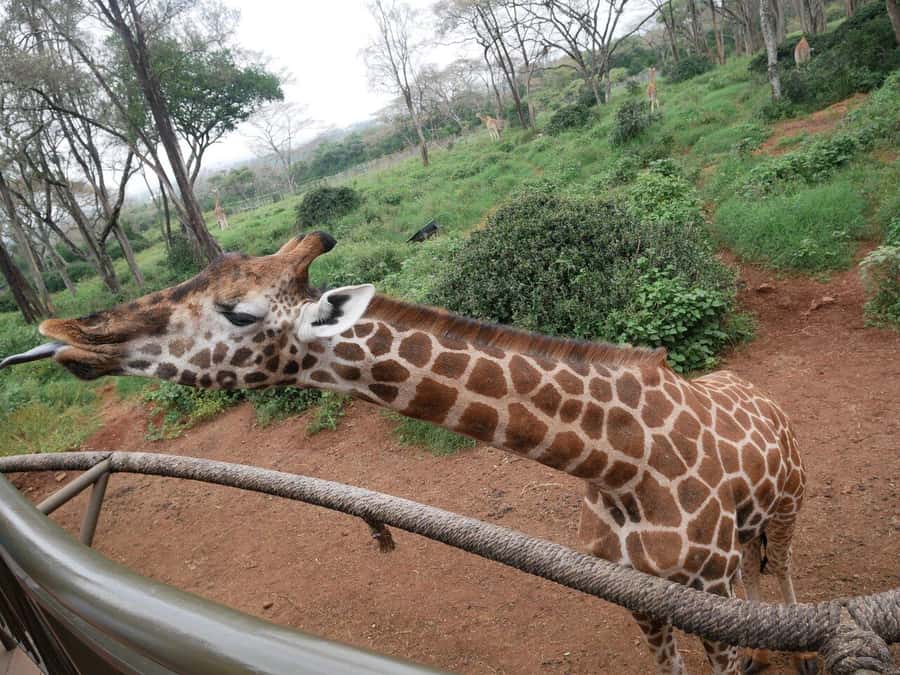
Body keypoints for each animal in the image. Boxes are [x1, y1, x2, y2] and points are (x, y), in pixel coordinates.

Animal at [3, 233, 818, 675]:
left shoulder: (701, 594)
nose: (62, 334)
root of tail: (766, 397)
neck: (617, 461)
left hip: (785, 509)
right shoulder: (639, 596)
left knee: (784, 572)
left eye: (239, 311)